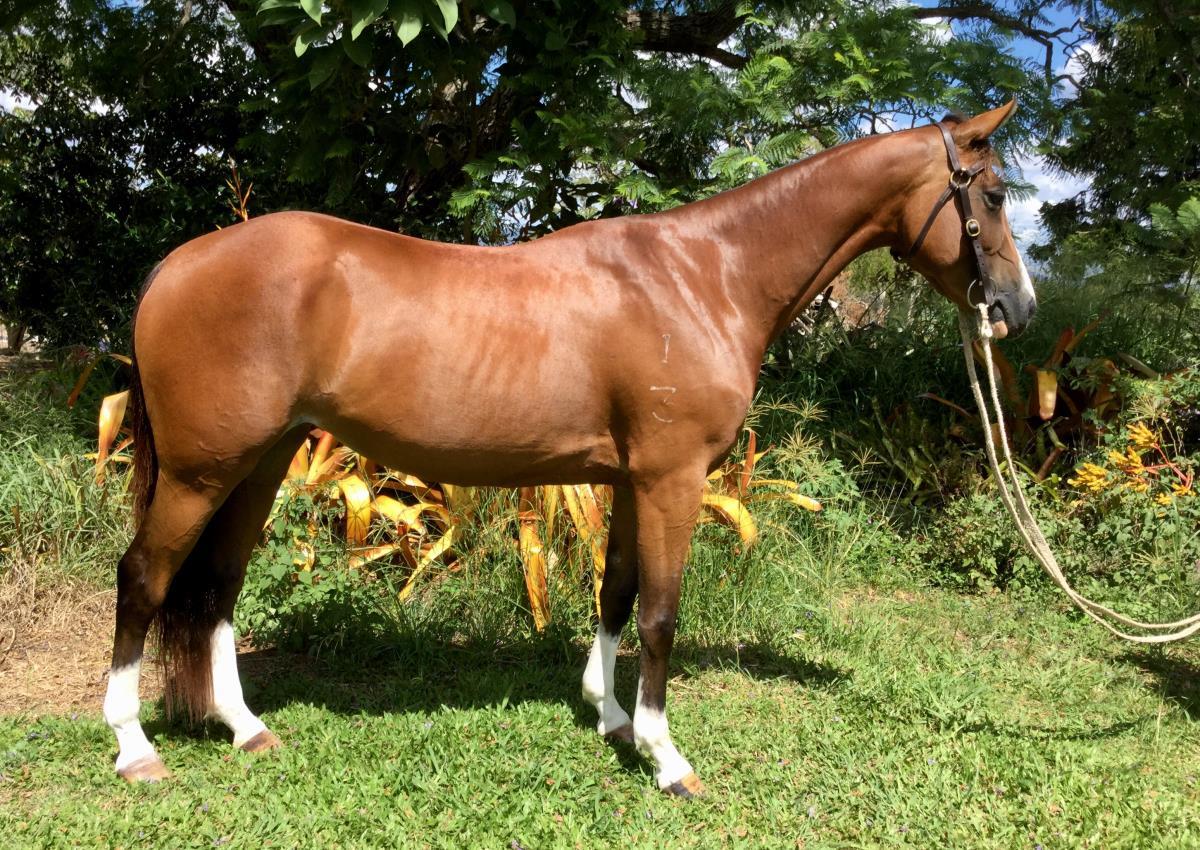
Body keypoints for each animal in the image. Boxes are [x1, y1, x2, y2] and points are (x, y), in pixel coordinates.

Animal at [102, 100, 1036, 796]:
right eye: (989, 196)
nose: (1017, 311)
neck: (705, 277)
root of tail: (177, 265)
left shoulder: (625, 480)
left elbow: (616, 593)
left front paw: (611, 717)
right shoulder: (672, 479)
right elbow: (660, 612)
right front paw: (666, 758)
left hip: (259, 464)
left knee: (217, 586)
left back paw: (246, 729)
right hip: (200, 470)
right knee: (144, 577)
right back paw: (135, 748)